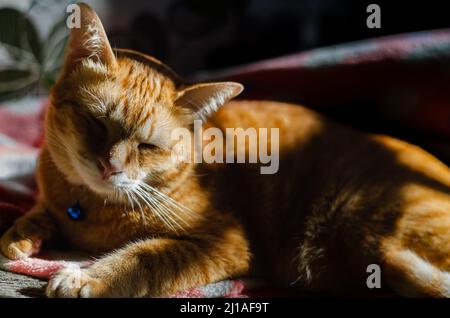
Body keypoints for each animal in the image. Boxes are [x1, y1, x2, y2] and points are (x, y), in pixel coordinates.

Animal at [0, 3, 450, 296]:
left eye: (147, 146)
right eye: (96, 123)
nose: (109, 168)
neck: (90, 209)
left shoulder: (222, 241)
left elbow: (142, 257)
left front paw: (86, 277)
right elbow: (37, 215)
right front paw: (21, 236)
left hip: (368, 226)